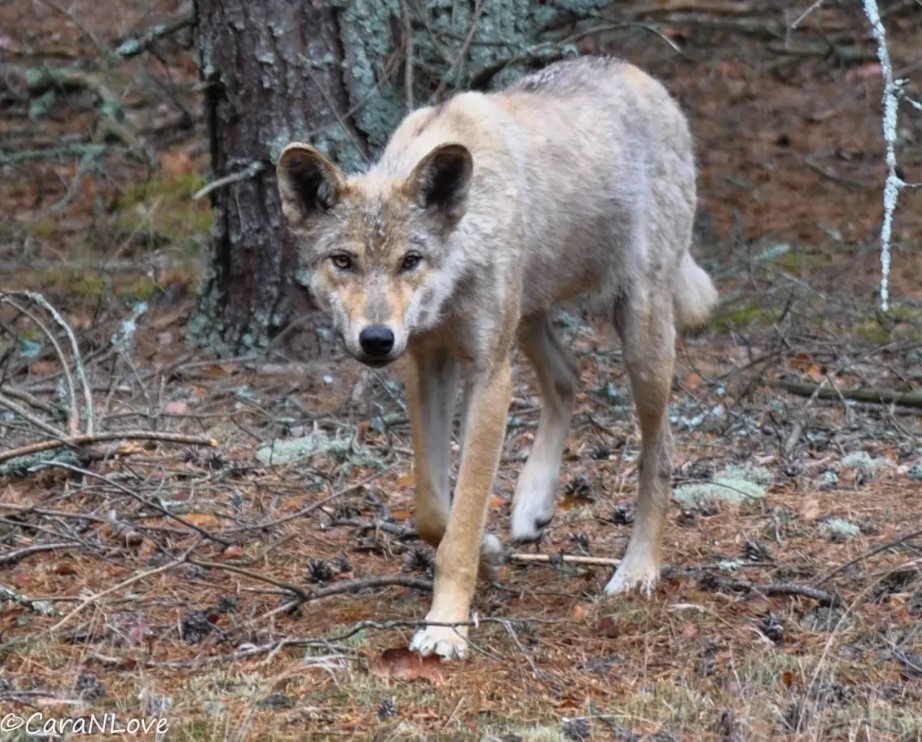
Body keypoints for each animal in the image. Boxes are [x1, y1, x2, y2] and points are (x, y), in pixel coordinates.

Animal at [276, 58, 716, 664]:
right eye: (343, 261)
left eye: (410, 260)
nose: (377, 339)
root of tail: (642, 76)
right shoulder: (428, 366)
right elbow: (433, 511)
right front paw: (489, 551)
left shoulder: (488, 376)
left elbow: (460, 521)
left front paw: (445, 628)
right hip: (529, 321)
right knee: (569, 378)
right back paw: (533, 504)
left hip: (639, 334)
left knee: (661, 453)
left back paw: (636, 571)